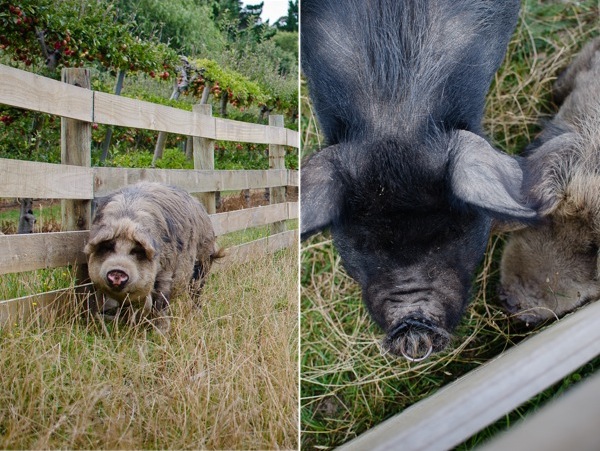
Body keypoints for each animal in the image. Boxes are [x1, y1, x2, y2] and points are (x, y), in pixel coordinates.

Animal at [83, 182, 217, 334]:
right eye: (108, 247)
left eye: (136, 251)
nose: (118, 270)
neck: (126, 221)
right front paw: (128, 325)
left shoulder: (165, 271)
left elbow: (161, 302)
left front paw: (160, 333)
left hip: (203, 261)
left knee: (196, 291)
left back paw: (196, 314)